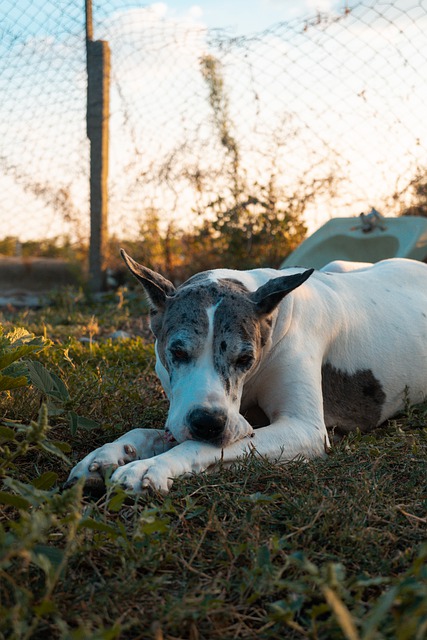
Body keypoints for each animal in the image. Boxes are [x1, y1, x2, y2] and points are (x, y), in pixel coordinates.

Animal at [66, 252, 427, 492]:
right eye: (178, 352)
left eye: (245, 358)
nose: (208, 422)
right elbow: (146, 432)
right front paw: (107, 455)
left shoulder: (304, 429)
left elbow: (205, 446)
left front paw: (152, 466)